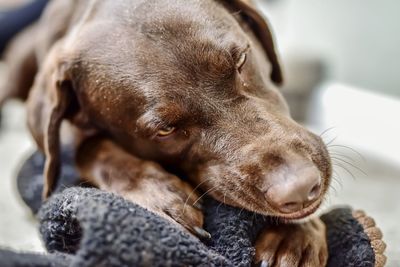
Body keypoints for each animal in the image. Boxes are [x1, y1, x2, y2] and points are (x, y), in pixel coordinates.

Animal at [0, 0, 332, 266]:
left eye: (241, 60)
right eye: (165, 129)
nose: (299, 188)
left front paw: (295, 234)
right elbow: (91, 147)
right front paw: (157, 192)